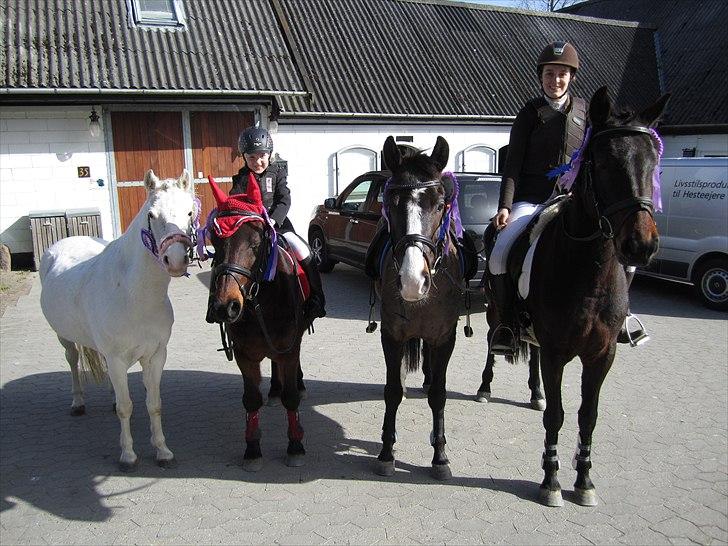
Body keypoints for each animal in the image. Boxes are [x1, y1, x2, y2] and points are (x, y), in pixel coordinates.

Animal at [41, 169, 195, 468]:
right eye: (152, 214)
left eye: (190, 212)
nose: (175, 260)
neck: (134, 295)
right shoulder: (116, 358)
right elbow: (126, 408)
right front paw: (128, 455)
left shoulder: (155, 356)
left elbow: (153, 405)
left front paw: (162, 451)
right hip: (64, 337)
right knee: (73, 360)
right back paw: (77, 403)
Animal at [203, 173, 308, 468]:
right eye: (216, 242)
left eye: (256, 242)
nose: (225, 306)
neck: (263, 302)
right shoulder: (244, 355)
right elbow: (251, 399)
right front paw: (252, 449)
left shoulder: (289, 348)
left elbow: (291, 398)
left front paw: (295, 446)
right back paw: (273, 390)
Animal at [372, 135, 464, 476]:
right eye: (390, 204)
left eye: (439, 205)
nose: (413, 281)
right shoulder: (392, 335)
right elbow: (392, 390)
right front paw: (387, 451)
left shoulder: (445, 337)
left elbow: (439, 394)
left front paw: (440, 456)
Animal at [484, 86, 672, 506]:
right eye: (601, 164)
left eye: (654, 165)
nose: (641, 245)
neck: (589, 274)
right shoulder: (558, 351)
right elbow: (556, 415)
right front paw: (551, 480)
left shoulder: (602, 354)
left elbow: (589, 415)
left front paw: (584, 479)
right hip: (496, 314)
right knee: (493, 342)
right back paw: (485, 388)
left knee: (533, 354)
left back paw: (535, 392)